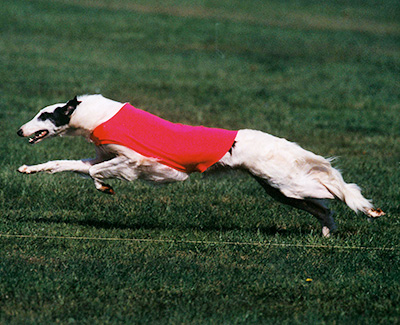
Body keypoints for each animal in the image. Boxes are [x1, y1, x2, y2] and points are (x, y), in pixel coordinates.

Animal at [16, 93, 384, 235]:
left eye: (44, 115)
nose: (19, 131)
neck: (95, 115)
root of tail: (274, 142)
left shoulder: (137, 160)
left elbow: (95, 171)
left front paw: (104, 186)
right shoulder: (105, 155)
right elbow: (63, 164)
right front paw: (28, 169)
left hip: (289, 183)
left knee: (339, 189)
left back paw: (369, 209)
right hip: (281, 191)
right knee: (324, 206)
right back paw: (328, 230)